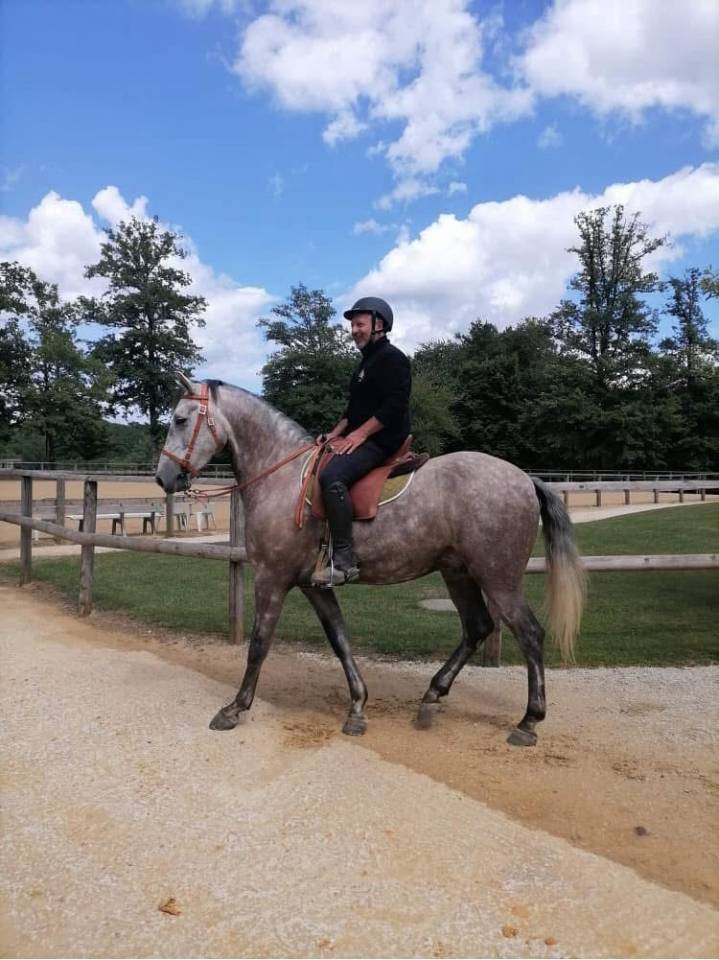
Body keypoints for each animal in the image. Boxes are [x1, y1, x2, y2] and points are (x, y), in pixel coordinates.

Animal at [155, 374, 585, 746]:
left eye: (180, 419)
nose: (163, 478)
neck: (283, 478)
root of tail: (524, 479)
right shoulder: (314, 585)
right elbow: (340, 639)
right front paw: (358, 707)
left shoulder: (272, 578)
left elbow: (259, 643)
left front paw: (235, 709)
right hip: (458, 572)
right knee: (477, 627)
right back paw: (432, 697)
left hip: (498, 578)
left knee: (529, 634)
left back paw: (528, 721)